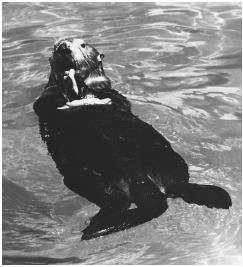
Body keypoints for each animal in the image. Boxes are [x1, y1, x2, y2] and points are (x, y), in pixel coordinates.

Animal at [33, 38, 233, 242]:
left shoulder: (111, 93)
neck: (80, 95)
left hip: (166, 160)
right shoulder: (45, 98)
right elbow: (46, 100)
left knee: (172, 188)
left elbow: (110, 95)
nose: (64, 48)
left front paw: (75, 80)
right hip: (87, 179)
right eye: (56, 47)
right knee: (123, 202)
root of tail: (141, 181)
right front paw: (69, 79)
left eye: (82, 45)